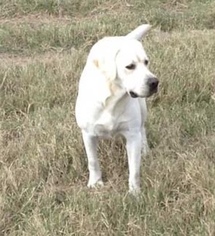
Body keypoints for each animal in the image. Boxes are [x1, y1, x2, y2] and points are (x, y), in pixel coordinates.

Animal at [75, 24, 158, 194]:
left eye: (146, 62)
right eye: (130, 66)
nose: (154, 82)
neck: (112, 99)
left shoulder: (132, 135)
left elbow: (135, 170)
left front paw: (134, 193)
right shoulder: (87, 134)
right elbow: (93, 161)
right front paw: (95, 183)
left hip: (142, 110)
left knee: (143, 129)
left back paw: (145, 151)